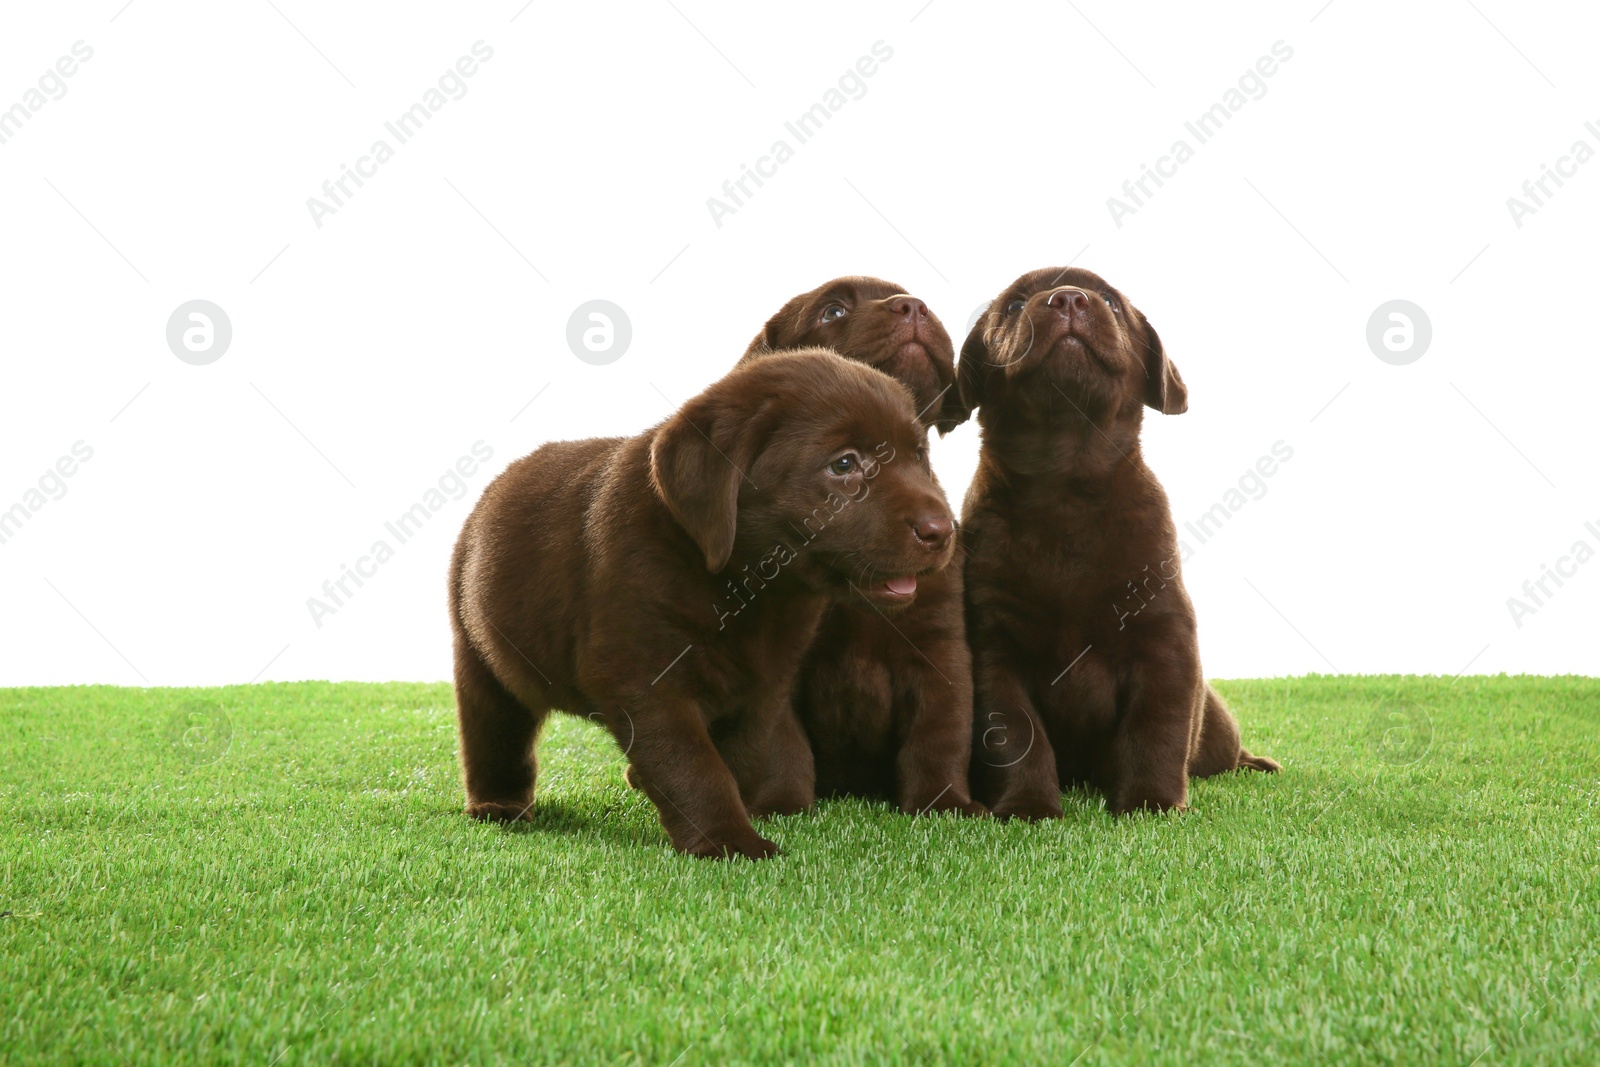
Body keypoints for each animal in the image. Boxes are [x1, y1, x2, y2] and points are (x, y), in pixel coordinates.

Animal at [444, 351, 953, 857]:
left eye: (919, 456)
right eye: (844, 464)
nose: (942, 530)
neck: (751, 592)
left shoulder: (765, 684)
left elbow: (740, 755)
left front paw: (744, 816)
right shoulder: (644, 676)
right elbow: (693, 764)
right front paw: (729, 841)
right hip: (480, 654)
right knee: (494, 731)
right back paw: (498, 805)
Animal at [739, 278, 985, 819]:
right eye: (832, 311)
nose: (914, 305)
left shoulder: (940, 649)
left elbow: (939, 735)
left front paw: (944, 804)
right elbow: (781, 745)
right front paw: (781, 806)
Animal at [953, 267, 1280, 819]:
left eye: (1109, 301)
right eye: (1015, 306)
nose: (1067, 299)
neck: (1065, 484)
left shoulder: (1164, 639)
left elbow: (1156, 728)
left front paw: (1151, 803)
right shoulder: (994, 647)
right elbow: (1015, 734)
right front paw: (1027, 806)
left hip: (1216, 730)